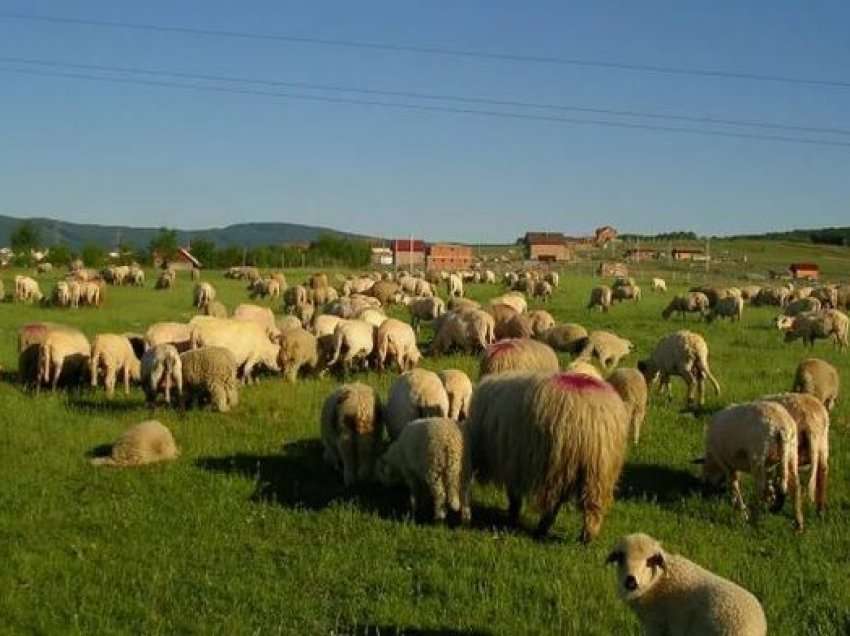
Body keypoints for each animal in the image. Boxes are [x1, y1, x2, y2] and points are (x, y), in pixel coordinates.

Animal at [464, 372, 628, 540]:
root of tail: (594, 418)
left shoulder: (513, 462)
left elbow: (514, 494)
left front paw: (512, 515)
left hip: (556, 464)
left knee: (553, 502)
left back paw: (542, 529)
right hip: (598, 470)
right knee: (592, 503)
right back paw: (587, 535)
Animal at [696, 400, 800, 528]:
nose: (704, 485)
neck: (712, 459)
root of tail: (781, 424)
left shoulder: (725, 462)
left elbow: (734, 483)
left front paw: (740, 509)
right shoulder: (767, 466)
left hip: (758, 457)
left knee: (760, 489)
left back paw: (753, 520)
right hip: (792, 452)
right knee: (795, 486)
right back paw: (798, 523)